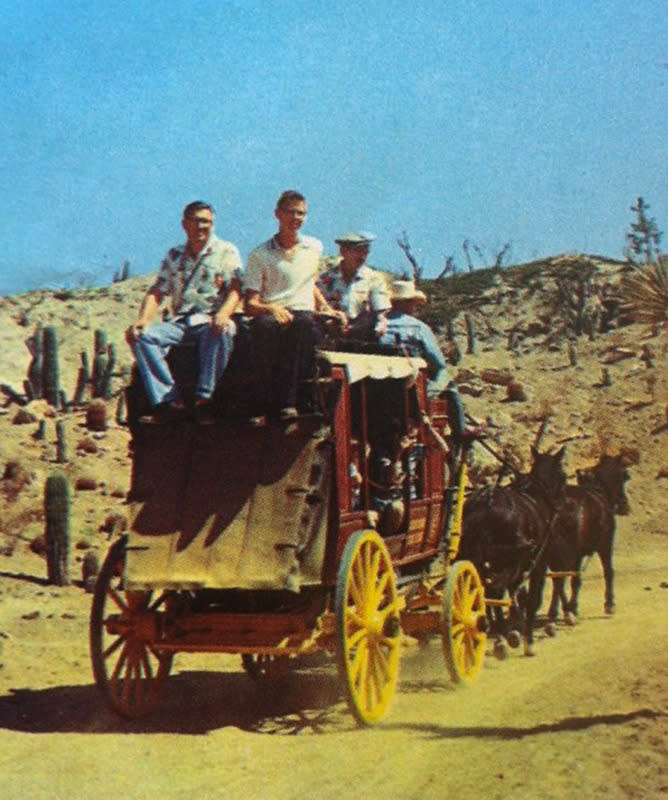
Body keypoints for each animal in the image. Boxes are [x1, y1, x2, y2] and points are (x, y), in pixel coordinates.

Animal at [460, 444, 568, 656]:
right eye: (563, 475)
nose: (559, 506)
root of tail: (485, 504)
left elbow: (515, 592)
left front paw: (515, 625)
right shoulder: (537, 563)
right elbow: (531, 598)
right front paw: (528, 639)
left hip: (480, 558)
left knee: (488, 591)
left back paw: (497, 632)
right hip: (506, 558)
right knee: (495, 590)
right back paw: (501, 637)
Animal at [544, 454, 628, 620]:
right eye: (623, 476)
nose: (624, 505)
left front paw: (571, 608)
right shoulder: (605, 544)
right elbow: (607, 571)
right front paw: (609, 604)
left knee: (557, 578)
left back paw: (560, 611)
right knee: (561, 577)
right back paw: (563, 611)